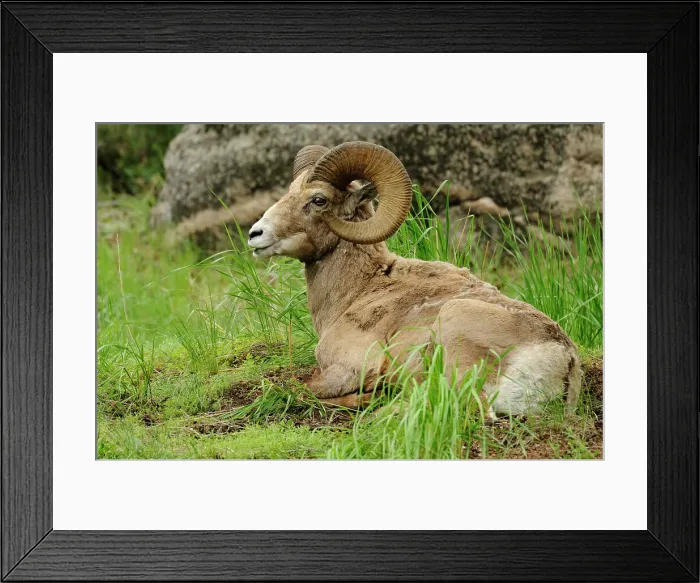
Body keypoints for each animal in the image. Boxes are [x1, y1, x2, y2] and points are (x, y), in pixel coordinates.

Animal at [248, 141, 581, 415]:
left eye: (319, 200)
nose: (255, 234)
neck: (358, 292)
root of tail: (564, 360)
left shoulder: (344, 370)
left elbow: (295, 389)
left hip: (455, 332)